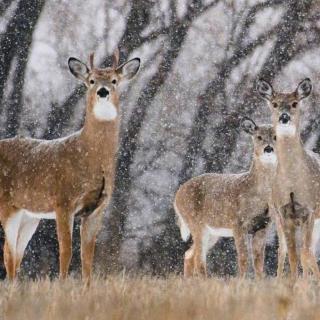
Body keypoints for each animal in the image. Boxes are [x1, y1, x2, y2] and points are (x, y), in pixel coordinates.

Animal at [0, 50, 140, 282]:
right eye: (91, 81)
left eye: (114, 80)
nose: (103, 91)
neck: (89, 157)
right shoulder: (63, 201)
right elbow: (66, 250)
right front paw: (62, 285)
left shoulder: (97, 208)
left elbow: (87, 255)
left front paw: (86, 287)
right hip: (8, 205)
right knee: (9, 253)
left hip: (29, 214)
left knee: (15, 253)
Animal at [175, 119, 278, 278]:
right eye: (259, 137)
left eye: (275, 137)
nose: (268, 149)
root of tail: (177, 196)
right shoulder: (238, 223)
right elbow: (243, 258)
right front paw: (240, 281)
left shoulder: (263, 225)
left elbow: (259, 261)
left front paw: (260, 281)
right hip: (195, 222)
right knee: (198, 259)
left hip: (212, 232)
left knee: (189, 254)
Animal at [258, 79, 320, 278]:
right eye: (275, 104)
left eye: (294, 103)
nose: (284, 117)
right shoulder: (284, 212)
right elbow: (293, 255)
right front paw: (294, 282)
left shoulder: (309, 209)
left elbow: (305, 253)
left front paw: (305, 283)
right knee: (285, 250)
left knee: (309, 252)